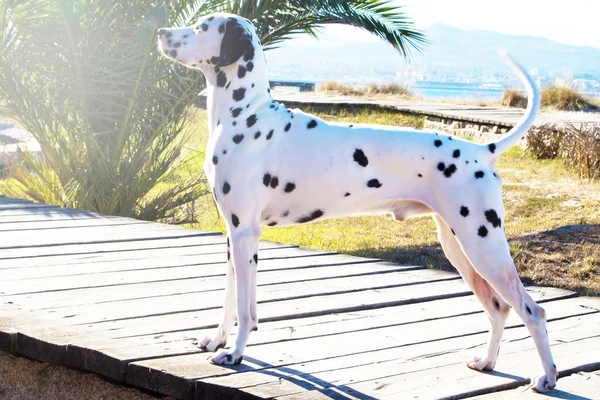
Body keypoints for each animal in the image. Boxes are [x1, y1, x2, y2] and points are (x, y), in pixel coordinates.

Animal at [158, 13, 556, 394]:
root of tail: (483, 149)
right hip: (459, 248)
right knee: (499, 309)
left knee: (533, 311)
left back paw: (547, 377)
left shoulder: (246, 235)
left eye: (201, 27)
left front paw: (236, 353)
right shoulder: (233, 234)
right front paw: (217, 341)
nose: (161, 32)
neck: (246, 116)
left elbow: (246, 308)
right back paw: (487, 362)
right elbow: (229, 299)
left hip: (483, 247)